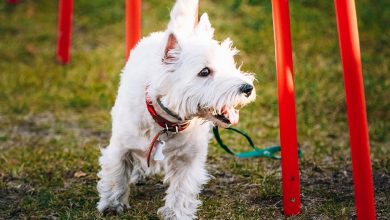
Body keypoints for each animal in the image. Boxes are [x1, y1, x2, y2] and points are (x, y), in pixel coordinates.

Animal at [96, 0, 256, 218]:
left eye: (230, 65)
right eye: (204, 72)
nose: (247, 88)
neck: (166, 122)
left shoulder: (188, 159)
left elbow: (182, 189)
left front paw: (175, 214)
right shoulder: (120, 147)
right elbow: (116, 175)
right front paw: (112, 205)